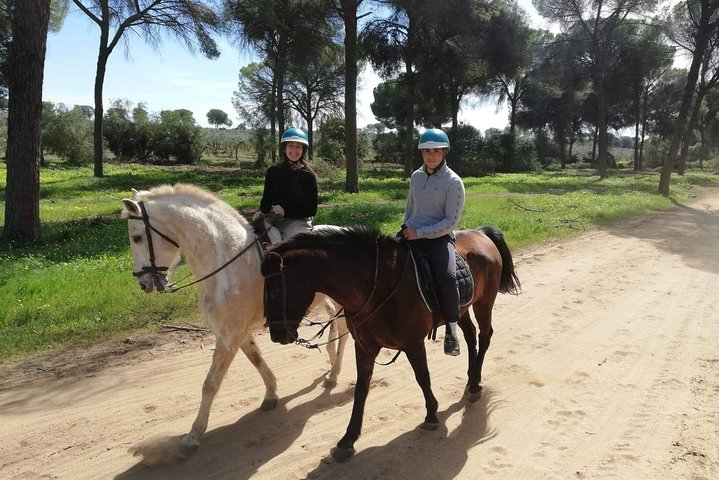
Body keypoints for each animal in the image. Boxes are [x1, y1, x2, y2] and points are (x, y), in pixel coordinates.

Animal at [120, 186, 348, 456]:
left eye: (136, 237)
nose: (143, 283)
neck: (227, 266)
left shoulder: (229, 335)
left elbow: (210, 384)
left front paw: (193, 436)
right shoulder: (237, 333)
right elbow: (256, 359)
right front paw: (271, 394)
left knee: (345, 332)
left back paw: (334, 374)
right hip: (324, 300)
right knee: (334, 323)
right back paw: (331, 363)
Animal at [262, 225, 520, 462]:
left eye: (274, 291)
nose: (277, 334)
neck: (378, 285)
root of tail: (481, 233)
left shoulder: (413, 343)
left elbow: (422, 378)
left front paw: (431, 415)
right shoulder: (364, 347)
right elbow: (361, 389)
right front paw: (348, 440)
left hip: (484, 302)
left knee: (484, 336)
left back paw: (475, 385)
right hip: (461, 308)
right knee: (470, 336)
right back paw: (470, 379)